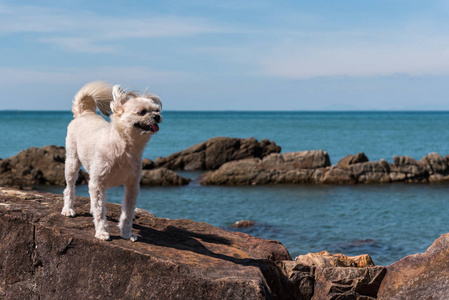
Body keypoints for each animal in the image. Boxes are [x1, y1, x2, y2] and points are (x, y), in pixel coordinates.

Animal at [61, 81, 162, 241]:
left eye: (157, 110)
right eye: (142, 112)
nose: (157, 116)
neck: (123, 147)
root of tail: (85, 113)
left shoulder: (132, 186)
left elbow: (128, 213)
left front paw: (126, 233)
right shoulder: (98, 183)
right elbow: (100, 211)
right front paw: (102, 232)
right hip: (72, 163)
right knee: (69, 188)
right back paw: (68, 209)